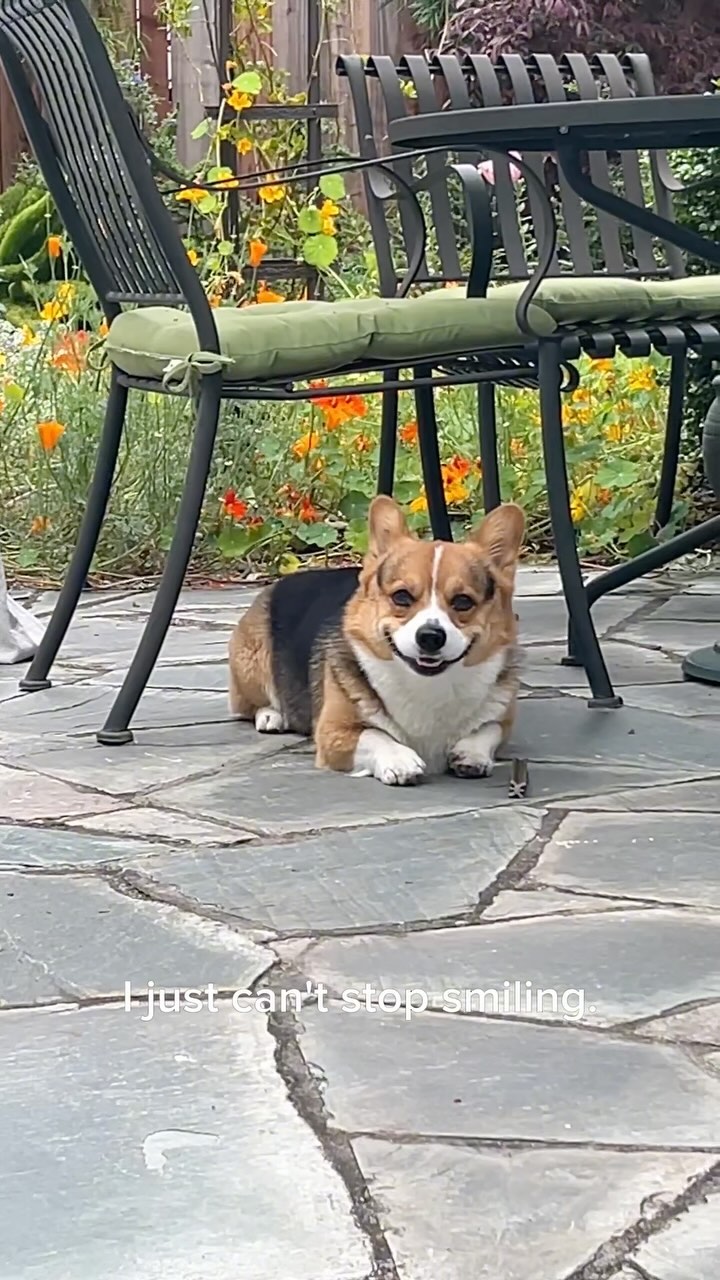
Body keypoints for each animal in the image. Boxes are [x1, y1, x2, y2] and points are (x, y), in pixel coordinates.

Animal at [228, 494, 520, 783]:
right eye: (401, 597)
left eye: (463, 602)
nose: (430, 637)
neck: (426, 685)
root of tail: (277, 583)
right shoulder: (333, 733)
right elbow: (375, 735)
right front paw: (400, 759)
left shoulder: (501, 722)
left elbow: (488, 729)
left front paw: (471, 753)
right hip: (251, 664)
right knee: (250, 703)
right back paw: (271, 715)